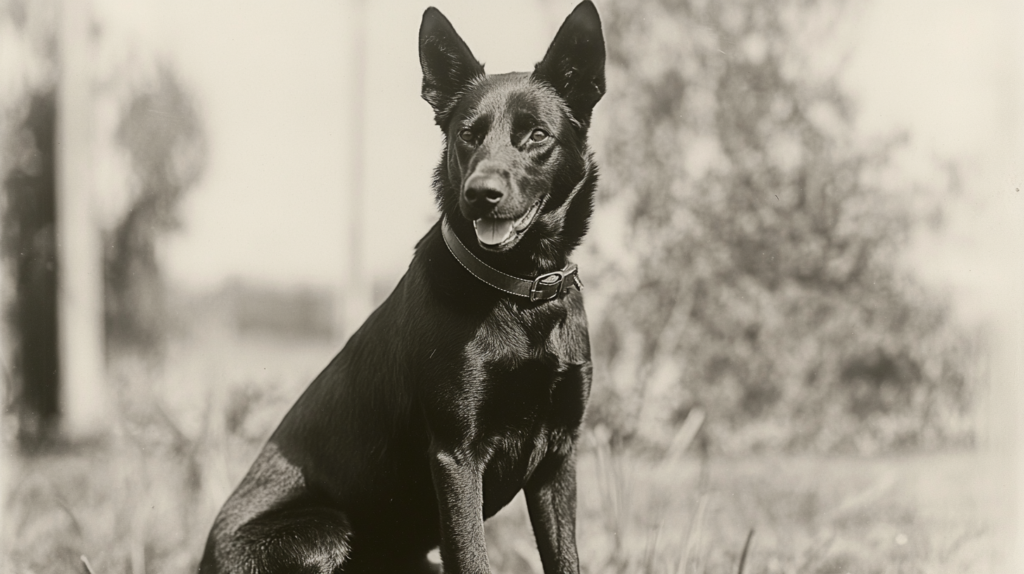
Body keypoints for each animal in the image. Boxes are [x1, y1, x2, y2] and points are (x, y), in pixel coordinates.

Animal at [197, 2, 598, 568]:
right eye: (467, 135)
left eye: (536, 135)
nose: (481, 194)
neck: (519, 296)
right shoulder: (457, 455)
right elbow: (472, 557)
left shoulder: (558, 458)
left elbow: (565, 558)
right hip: (325, 531)